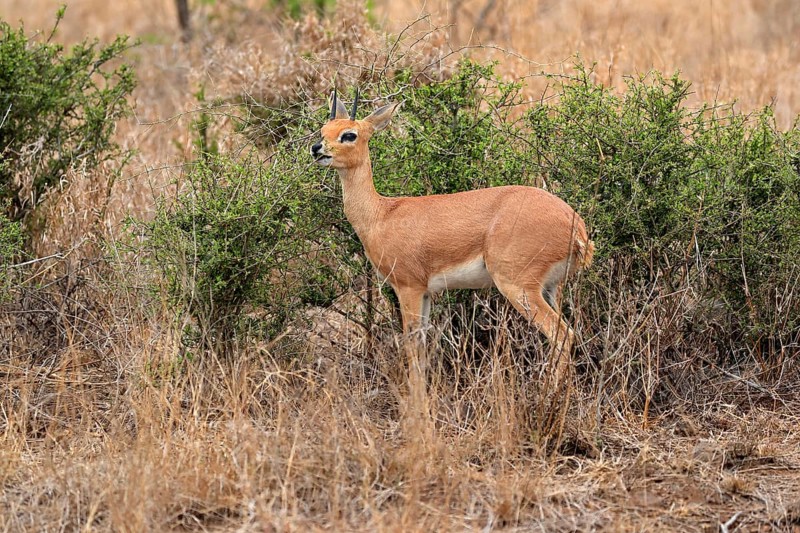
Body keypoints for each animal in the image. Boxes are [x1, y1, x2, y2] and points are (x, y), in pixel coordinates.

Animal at [311, 89, 594, 356]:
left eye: (349, 135)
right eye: (324, 129)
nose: (317, 148)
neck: (382, 213)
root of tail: (576, 227)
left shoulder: (409, 287)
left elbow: (413, 346)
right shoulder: (426, 292)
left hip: (518, 287)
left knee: (562, 335)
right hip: (551, 288)